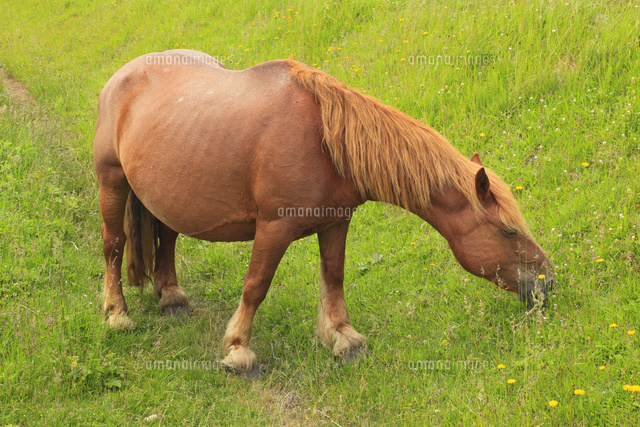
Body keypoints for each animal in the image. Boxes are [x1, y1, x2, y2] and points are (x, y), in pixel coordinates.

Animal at [94, 49, 555, 376]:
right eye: (509, 232)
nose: (548, 282)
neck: (325, 142)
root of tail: (122, 75)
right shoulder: (274, 228)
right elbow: (256, 285)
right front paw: (239, 350)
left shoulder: (336, 222)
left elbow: (334, 277)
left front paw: (343, 338)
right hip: (112, 182)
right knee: (113, 245)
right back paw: (117, 314)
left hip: (167, 197)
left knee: (167, 238)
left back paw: (171, 297)